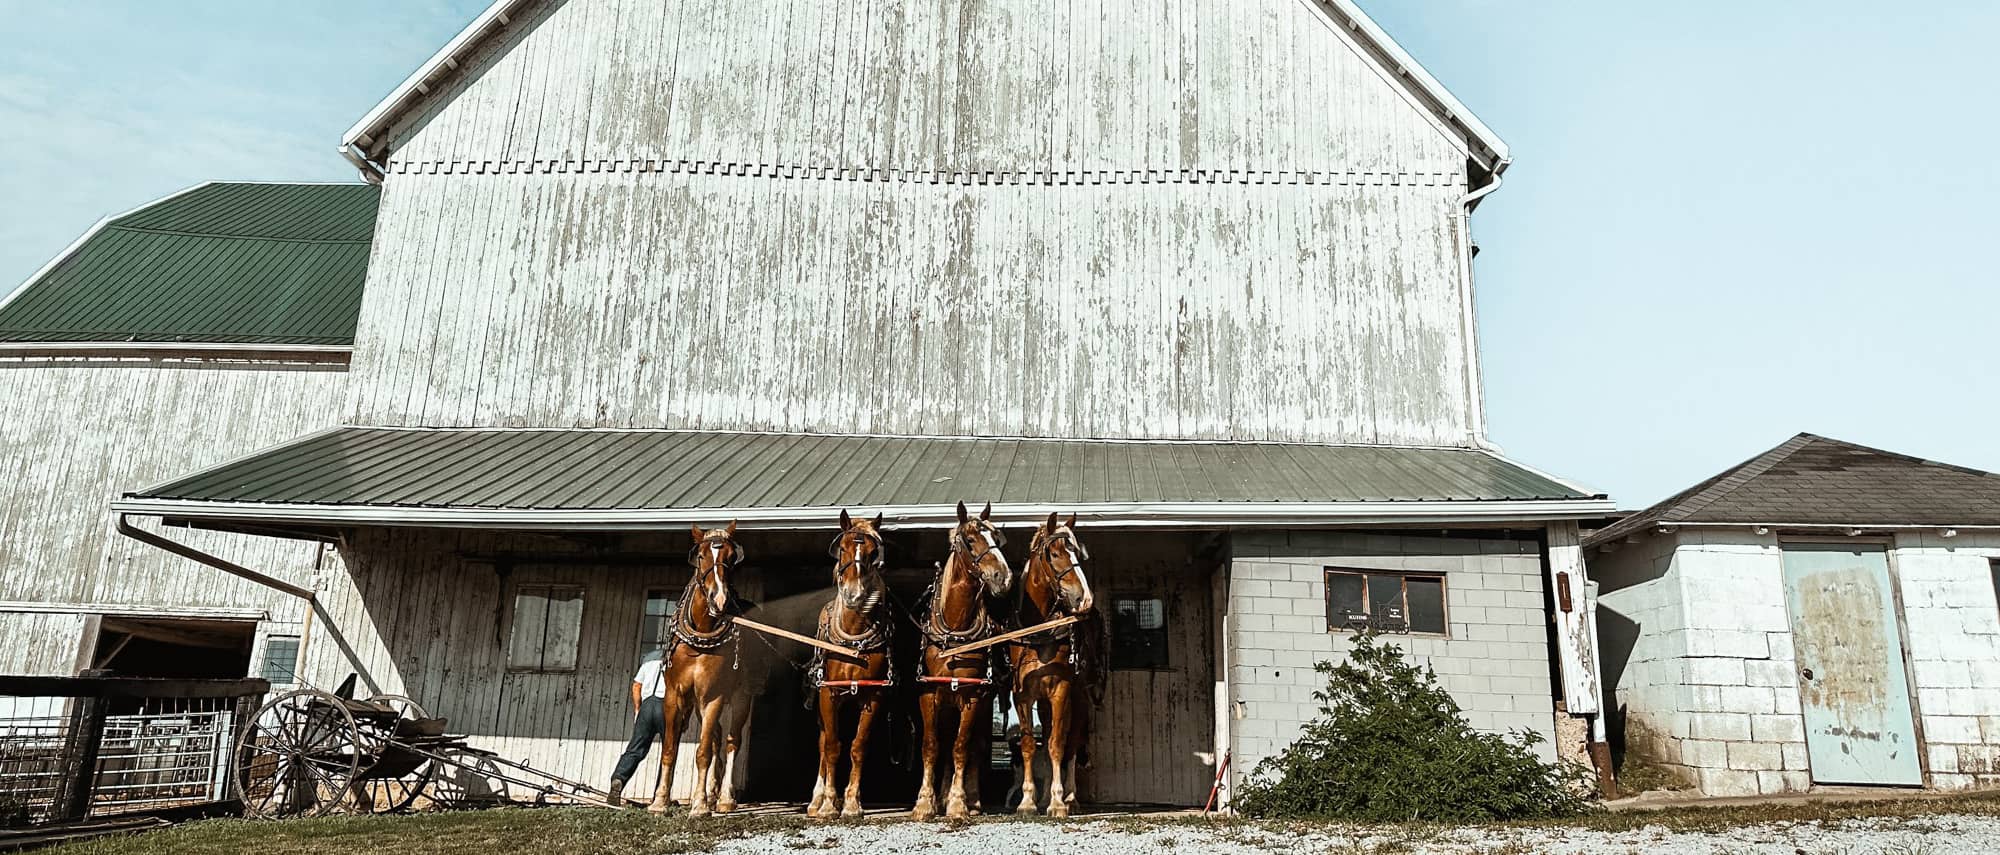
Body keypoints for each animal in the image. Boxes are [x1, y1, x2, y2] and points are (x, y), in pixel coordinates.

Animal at [648, 519, 752, 815]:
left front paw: (700, 804)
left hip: (741, 697)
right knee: (717, 737)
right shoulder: (676, 694)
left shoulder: (713, 696)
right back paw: (714, 792)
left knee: (731, 741)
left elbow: (703, 751)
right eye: (701, 556)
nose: (720, 599)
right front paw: (660, 801)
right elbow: (670, 748)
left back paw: (725, 798)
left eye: (732, 557)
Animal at [808, 511, 896, 819]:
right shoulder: (829, 693)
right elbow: (832, 747)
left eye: (872, 553)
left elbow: (858, 746)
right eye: (843, 548)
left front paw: (851, 803)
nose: (854, 594)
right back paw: (816, 800)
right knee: (823, 743)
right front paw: (827, 805)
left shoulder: (874, 695)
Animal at [916, 501, 1016, 823]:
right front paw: (925, 803)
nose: (1003, 578)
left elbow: (961, 748)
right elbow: (932, 746)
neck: (954, 629)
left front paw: (959, 803)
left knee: (974, 745)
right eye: (970, 541)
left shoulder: (972, 695)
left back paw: (970, 799)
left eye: (996, 536)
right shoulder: (929, 693)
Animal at [1008, 511, 1104, 819]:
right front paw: (1028, 801)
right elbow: (1030, 744)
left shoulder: (1060, 690)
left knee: (1071, 744)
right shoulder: (1023, 695)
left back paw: (1069, 796)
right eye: (1055, 553)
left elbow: (1057, 745)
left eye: (1078, 552)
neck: (1039, 632)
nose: (1085, 600)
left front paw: (1058, 802)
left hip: (1078, 698)